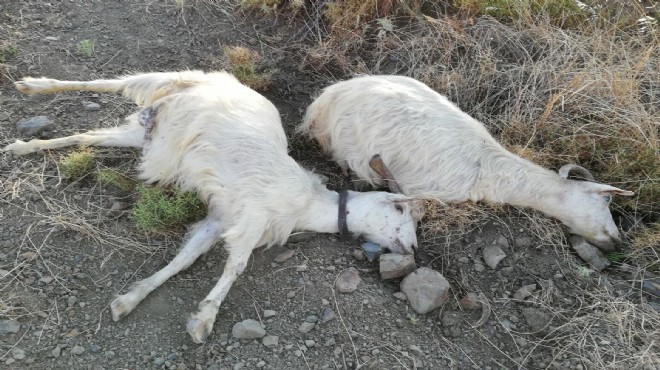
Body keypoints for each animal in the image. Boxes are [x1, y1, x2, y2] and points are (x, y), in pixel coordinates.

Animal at [2, 71, 418, 342]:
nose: (413, 249)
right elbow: (236, 266)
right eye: (401, 209)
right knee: (107, 83)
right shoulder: (252, 216)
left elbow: (184, 259)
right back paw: (33, 85)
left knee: (87, 136)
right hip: (168, 83)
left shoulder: (220, 219)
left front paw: (130, 299)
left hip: (145, 135)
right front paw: (204, 319)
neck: (308, 204)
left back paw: (23, 146)